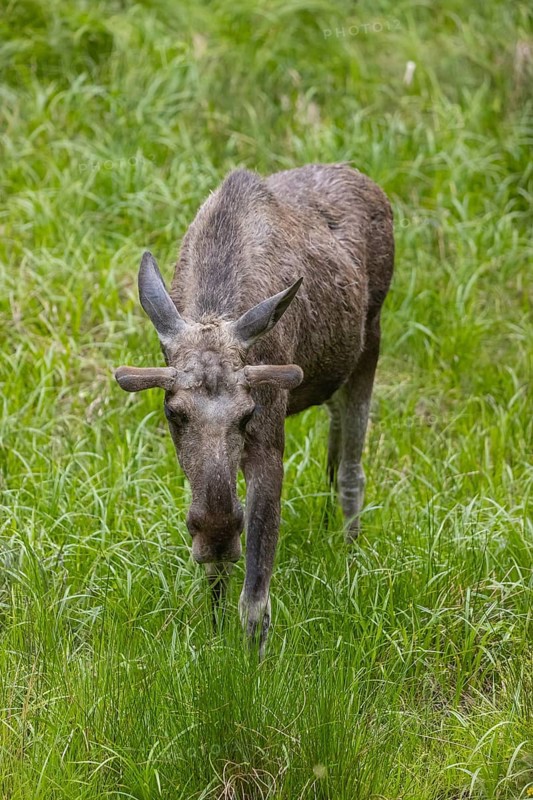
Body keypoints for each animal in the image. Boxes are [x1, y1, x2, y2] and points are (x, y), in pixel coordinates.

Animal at [115, 163, 394, 656]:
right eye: (173, 414)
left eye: (246, 415)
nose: (218, 533)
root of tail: (367, 182)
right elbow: (218, 580)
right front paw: (212, 629)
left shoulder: (268, 440)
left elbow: (257, 589)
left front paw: (254, 661)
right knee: (336, 429)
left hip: (371, 339)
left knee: (352, 468)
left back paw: (350, 552)